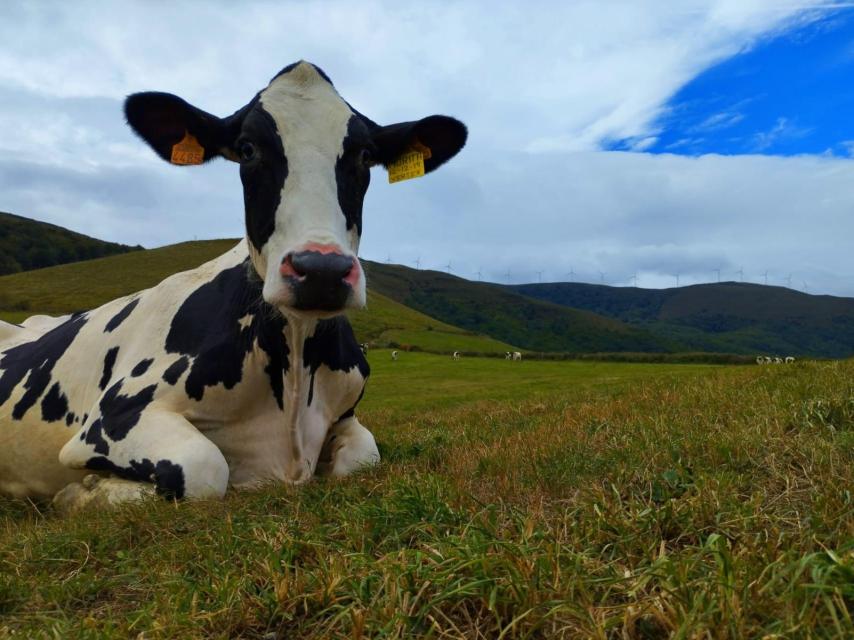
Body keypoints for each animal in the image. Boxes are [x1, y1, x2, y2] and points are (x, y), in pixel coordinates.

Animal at [0, 61, 467, 512]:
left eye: (365, 155)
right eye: (247, 149)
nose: (321, 270)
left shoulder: (347, 414)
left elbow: (365, 456)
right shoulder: (112, 417)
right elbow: (204, 466)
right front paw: (82, 494)